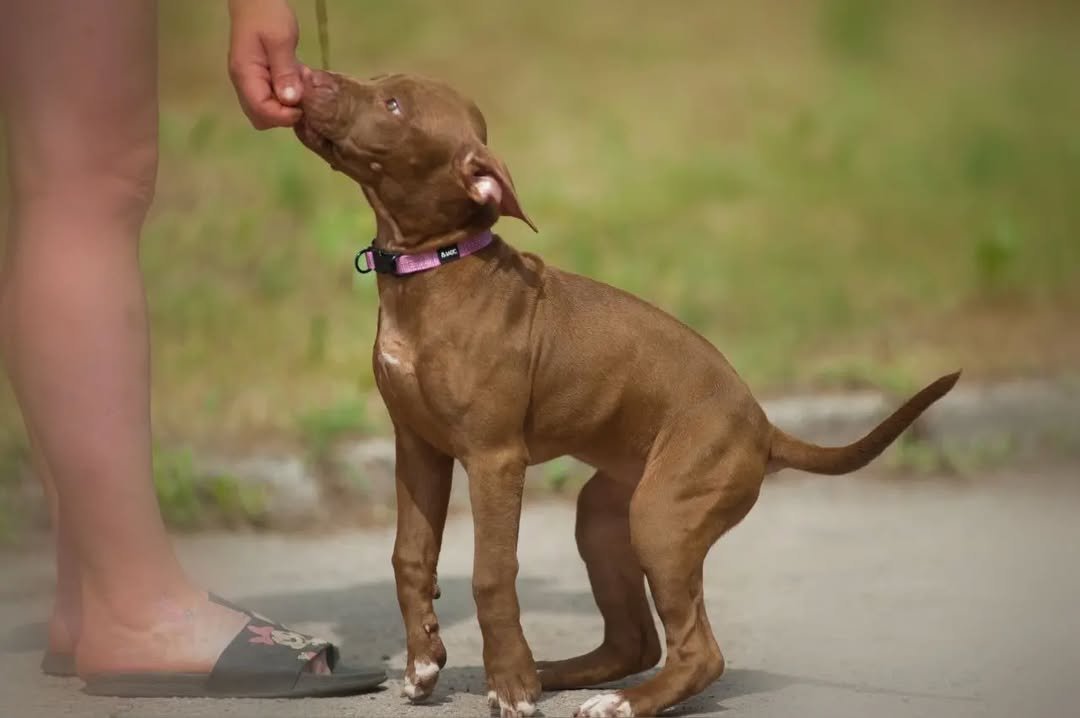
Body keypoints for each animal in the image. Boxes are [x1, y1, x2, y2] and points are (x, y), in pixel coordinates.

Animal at [294, 69, 960, 718]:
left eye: (394, 104)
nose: (312, 78)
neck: (435, 265)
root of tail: (765, 427)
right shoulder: (418, 447)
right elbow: (409, 557)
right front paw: (425, 662)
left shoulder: (493, 459)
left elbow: (492, 573)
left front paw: (509, 684)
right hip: (607, 517)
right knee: (634, 640)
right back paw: (560, 675)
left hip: (662, 516)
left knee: (698, 652)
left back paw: (617, 700)